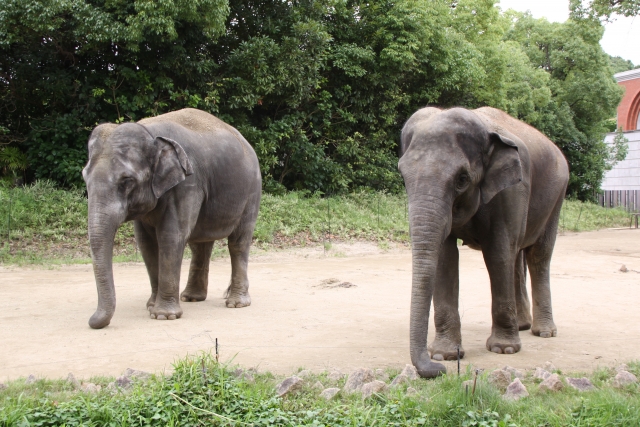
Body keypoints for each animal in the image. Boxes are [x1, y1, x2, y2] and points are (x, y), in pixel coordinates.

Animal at [83, 108, 262, 330]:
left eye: (127, 181)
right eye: (84, 178)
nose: (92, 321)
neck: (149, 132)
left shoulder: (188, 184)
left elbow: (171, 236)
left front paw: (163, 315)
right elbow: (146, 242)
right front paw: (151, 306)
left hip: (252, 192)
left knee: (238, 242)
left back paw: (236, 304)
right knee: (200, 245)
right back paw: (191, 298)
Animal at [400, 106, 568, 378]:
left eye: (462, 179)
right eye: (403, 177)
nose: (438, 371)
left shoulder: (512, 190)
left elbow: (497, 252)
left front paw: (503, 350)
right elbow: (446, 258)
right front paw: (445, 355)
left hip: (557, 195)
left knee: (538, 255)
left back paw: (543, 332)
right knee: (516, 254)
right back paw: (523, 325)